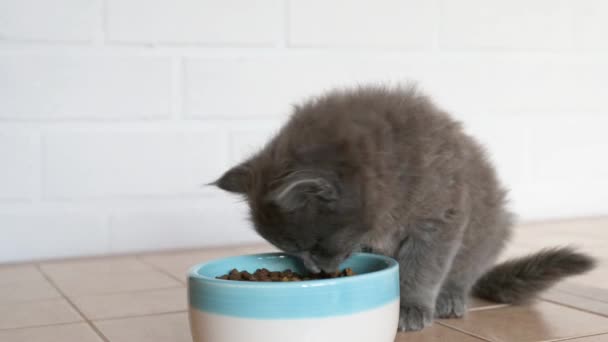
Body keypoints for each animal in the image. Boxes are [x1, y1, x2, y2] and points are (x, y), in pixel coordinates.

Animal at [213, 86, 592, 332]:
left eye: (314, 245)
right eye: (294, 251)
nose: (316, 270)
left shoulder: (439, 219)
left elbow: (422, 267)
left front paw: (409, 307)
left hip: (490, 228)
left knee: (464, 272)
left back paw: (450, 298)